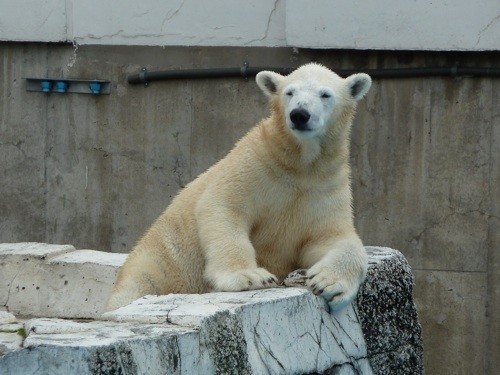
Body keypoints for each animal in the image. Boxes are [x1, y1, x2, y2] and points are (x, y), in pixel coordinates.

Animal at [106, 64, 372, 312]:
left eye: (325, 94)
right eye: (289, 92)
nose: (299, 114)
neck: (300, 163)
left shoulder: (325, 186)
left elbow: (335, 238)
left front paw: (328, 283)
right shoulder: (256, 163)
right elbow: (225, 206)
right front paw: (251, 276)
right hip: (158, 264)